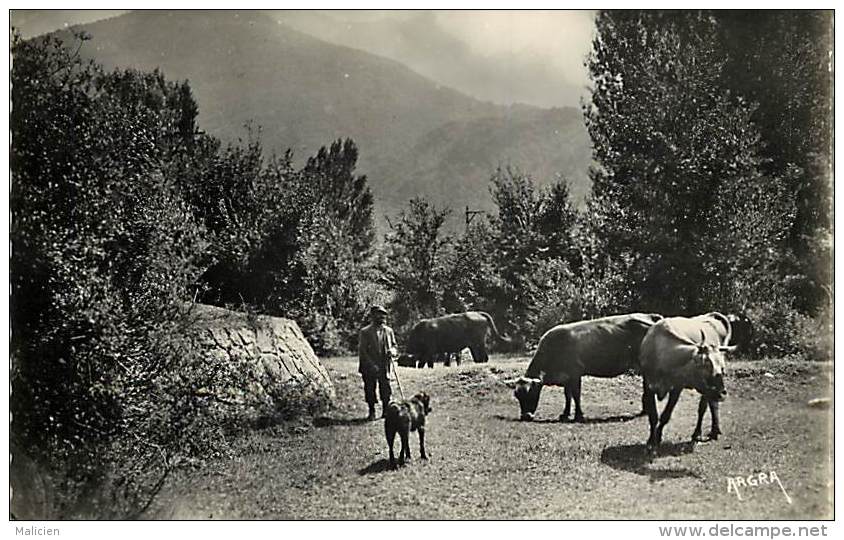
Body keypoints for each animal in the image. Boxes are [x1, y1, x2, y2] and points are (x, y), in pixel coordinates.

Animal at [512, 314, 664, 424]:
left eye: (531, 392)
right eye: (517, 395)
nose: (525, 416)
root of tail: (651, 316)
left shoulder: (575, 374)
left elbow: (576, 395)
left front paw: (579, 416)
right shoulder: (566, 376)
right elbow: (567, 396)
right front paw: (565, 414)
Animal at [644, 312, 736, 448]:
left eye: (722, 368)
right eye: (705, 365)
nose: (722, 393)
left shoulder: (677, 387)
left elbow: (666, 415)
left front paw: (658, 436)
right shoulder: (648, 384)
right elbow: (653, 416)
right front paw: (651, 440)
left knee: (705, 407)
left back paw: (701, 432)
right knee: (711, 403)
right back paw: (714, 431)